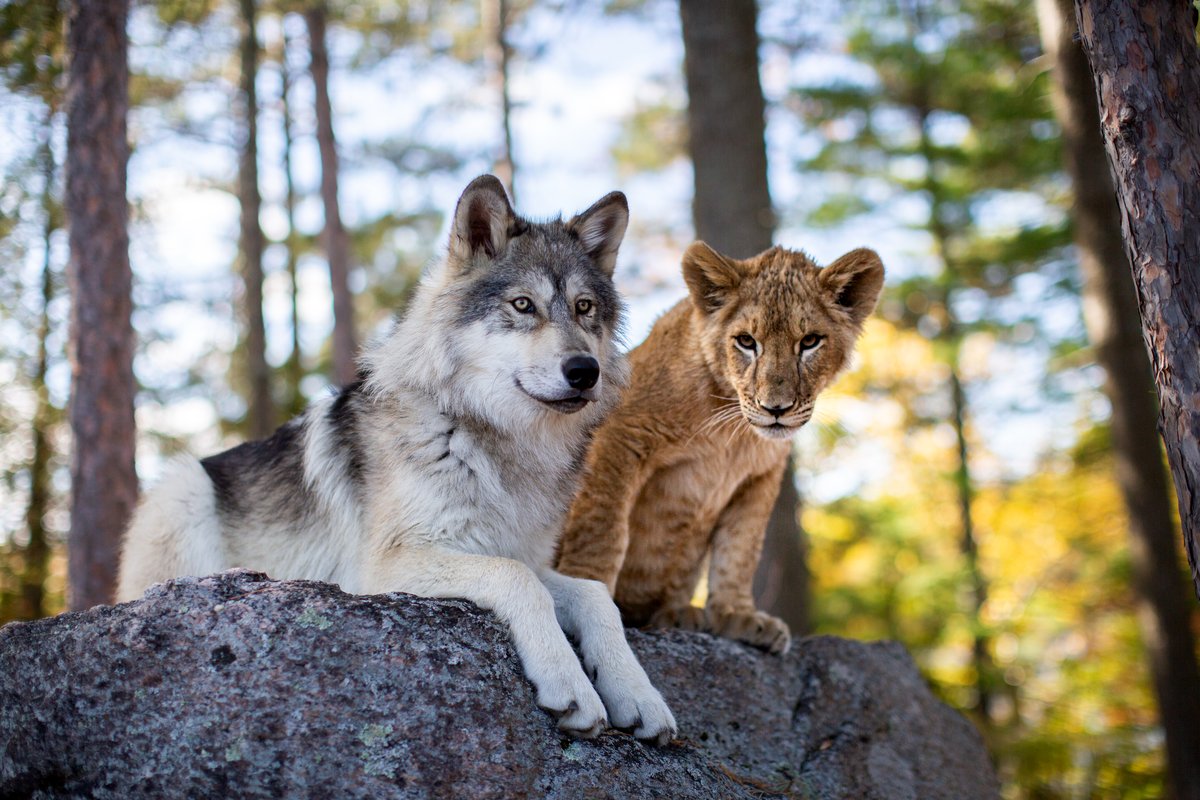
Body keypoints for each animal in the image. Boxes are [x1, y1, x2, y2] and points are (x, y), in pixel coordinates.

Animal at [117, 175, 677, 744]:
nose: (585, 371)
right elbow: (516, 580)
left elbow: (594, 595)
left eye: (585, 308)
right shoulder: (384, 568)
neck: (493, 440)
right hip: (182, 487)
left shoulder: (522, 553)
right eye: (523, 305)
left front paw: (638, 695)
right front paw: (571, 684)